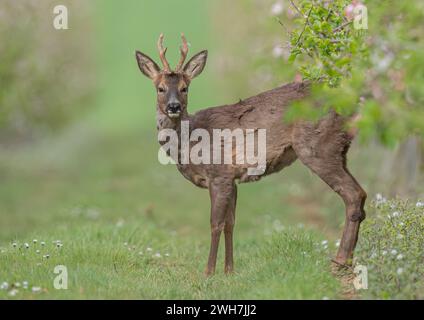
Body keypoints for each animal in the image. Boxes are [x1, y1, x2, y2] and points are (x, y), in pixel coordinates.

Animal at [135, 34, 364, 276]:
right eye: (160, 88)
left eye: (184, 87)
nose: (174, 106)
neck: (191, 140)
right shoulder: (232, 179)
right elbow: (230, 223)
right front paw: (229, 270)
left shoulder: (219, 174)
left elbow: (215, 223)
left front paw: (208, 272)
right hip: (339, 149)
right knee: (361, 193)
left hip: (318, 146)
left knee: (353, 194)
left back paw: (340, 261)